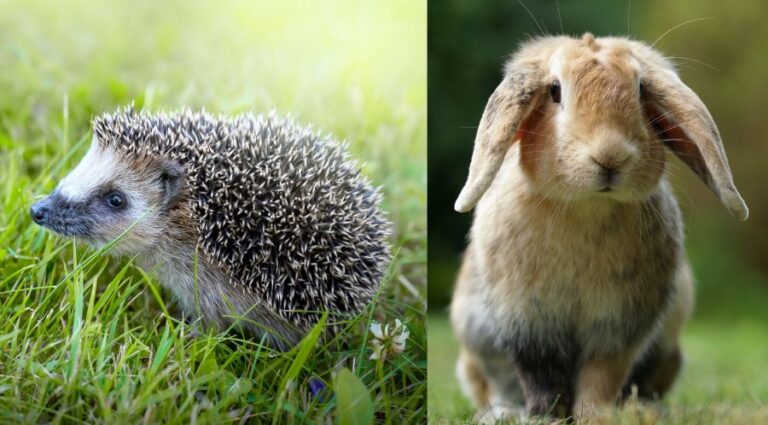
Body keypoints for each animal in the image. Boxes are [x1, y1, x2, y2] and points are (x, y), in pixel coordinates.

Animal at [450, 33, 748, 422]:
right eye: (555, 91)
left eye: (640, 89)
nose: (610, 156)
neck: (586, 206)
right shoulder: (528, 320)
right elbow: (541, 377)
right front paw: (546, 417)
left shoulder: (619, 324)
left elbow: (601, 376)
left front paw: (596, 416)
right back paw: (502, 412)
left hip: (668, 352)